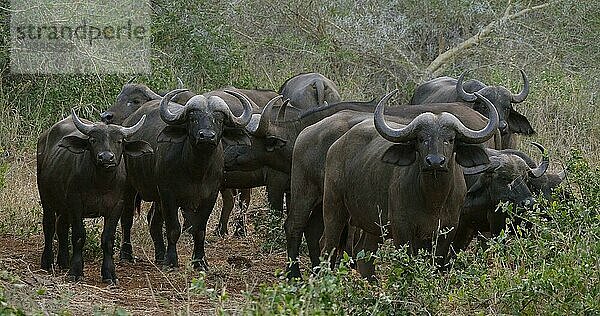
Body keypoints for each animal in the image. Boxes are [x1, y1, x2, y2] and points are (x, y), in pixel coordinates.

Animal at [37, 110, 151, 282]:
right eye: (93, 140)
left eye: (119, 141)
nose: (106, 157)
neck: (101, 184)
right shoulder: (75, 203)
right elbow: (79, 236)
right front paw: (76, 271)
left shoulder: (117, 206)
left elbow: (108, 239)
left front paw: (109, 273)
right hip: (46, 197)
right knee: (49, 226)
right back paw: (47, 262)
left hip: (63, 206)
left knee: (61, 226)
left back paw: (63, 262)